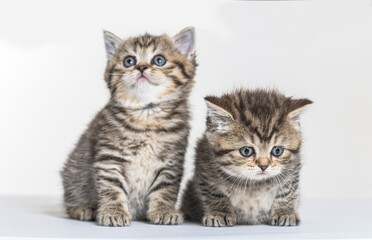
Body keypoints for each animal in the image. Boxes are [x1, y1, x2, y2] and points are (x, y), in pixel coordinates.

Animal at [60, 27, 198, 226]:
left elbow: (166, 189)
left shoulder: (171, 163)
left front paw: (164, 210)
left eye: (159, 60)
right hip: (73, 176)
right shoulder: (109, 158)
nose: (141, 67)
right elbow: (111, 188)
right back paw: (84, 209)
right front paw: (113, 212)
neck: (147, 116)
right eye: (129, 61)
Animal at [182, 88, 312, 227]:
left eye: (277, 151)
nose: (263, 166)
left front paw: (285, 212)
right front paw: (220, 213)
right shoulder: (205, 168)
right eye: (246, 151)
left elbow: (288, 191)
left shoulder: (292, 169)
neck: (254, 185)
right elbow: (214, 193)